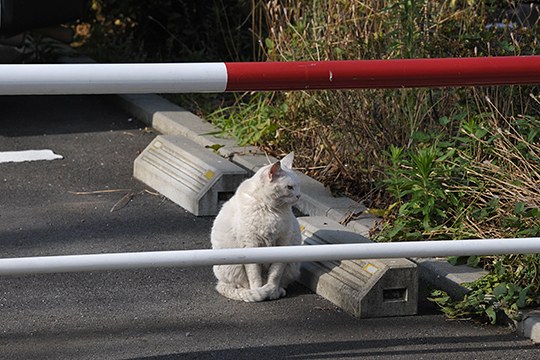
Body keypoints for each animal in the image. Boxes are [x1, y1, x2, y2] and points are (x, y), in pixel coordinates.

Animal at [211, 150, 304, 302]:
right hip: (231, 266)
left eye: (298, 185)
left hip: (292, 266)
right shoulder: (250, 244)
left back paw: (278, 291)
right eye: (290, 187)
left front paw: (272, 290)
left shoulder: (283, 243)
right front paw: (258, 291)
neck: (271, 210)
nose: (299, 195)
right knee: (239, 284)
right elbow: (254, 275)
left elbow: (275, 274)